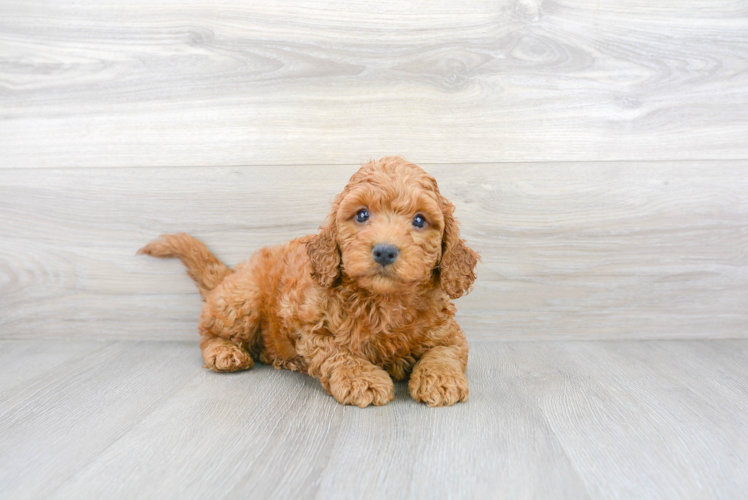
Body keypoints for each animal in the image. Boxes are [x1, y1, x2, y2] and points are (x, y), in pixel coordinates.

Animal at [139, 156, 480, 406]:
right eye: (362, 215)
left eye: (420, 220)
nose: (384, 251)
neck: (384, 300)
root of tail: (233, 273)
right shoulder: (311, 325)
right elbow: (338, 352)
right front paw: (363, 379)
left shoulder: (448, 332)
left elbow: (444, 352)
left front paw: (440, 379)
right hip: (242, 300)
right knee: (207, 333)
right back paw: (225, 353)